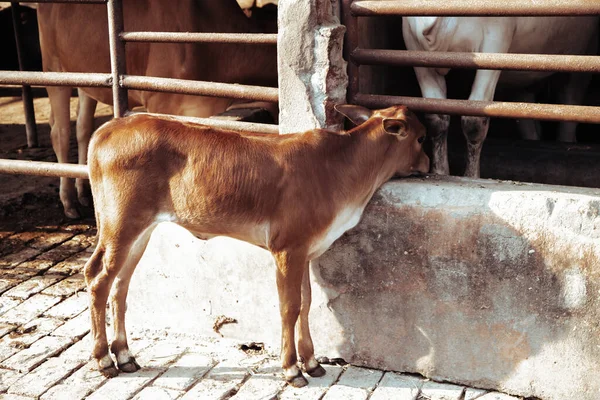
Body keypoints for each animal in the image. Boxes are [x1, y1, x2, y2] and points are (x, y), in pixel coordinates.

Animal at [38, 0, 278, 219]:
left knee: (83, 128)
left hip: (85, 80)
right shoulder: (160, 102)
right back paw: (69, 201)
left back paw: (84, 193)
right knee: (60, 132)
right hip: (54, 69)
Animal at [85, 104, 432, 386]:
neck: (340, 167)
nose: (429, 163)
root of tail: (111, 126)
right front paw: (292, 369)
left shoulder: (305, 252)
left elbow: (306, 303)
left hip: (138, 233)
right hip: (121, 226)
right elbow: (289, 307)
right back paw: (104, 360)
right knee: (99, 280)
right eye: (421, 138)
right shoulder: (287, 249)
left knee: (120, 286)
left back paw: (125, 356)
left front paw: (312, 362)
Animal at [404, 17, 600, 177]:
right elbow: (435, 117)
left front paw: (472, 176)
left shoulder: (496, 37)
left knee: (571, 104)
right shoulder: (413, 42)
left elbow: (474, 120)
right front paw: (440, 172)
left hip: (582, 56)